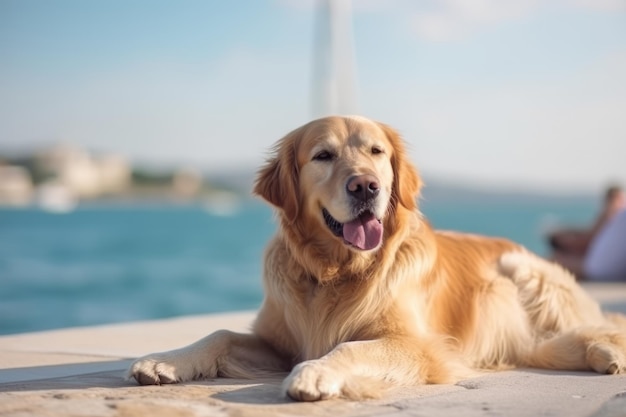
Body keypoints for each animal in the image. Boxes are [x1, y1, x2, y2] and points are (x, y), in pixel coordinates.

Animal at [128, 114, 624, 400]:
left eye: (377, 152)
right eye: (323, 156)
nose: (366, 185)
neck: (335, 270)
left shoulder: (418, 344)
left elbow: (348, 346)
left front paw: (315, 374)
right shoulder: (279, 342)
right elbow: (220, 333)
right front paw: (165, 360)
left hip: (526, 274)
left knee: (599, 325)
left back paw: (607, 350)